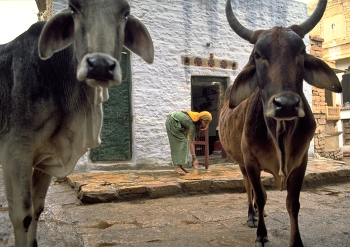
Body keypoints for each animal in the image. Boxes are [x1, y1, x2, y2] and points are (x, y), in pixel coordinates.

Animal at [0, 0, 153, 246]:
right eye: (73, 8)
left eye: (126, 13)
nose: (100, 65)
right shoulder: (15, 151)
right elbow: (22, 215)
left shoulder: (45, 158)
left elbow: (37, 209)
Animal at [219, 0, 342, 247]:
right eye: (257, 55)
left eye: (302, 52)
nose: (286, 104)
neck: (280, 131)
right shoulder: (250, 161)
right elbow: (261, 196)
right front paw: (261, 235)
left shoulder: (301, 161)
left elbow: (292, 203)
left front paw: (297, 241)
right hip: (241, 163)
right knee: (249, 188)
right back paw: (252, 215)